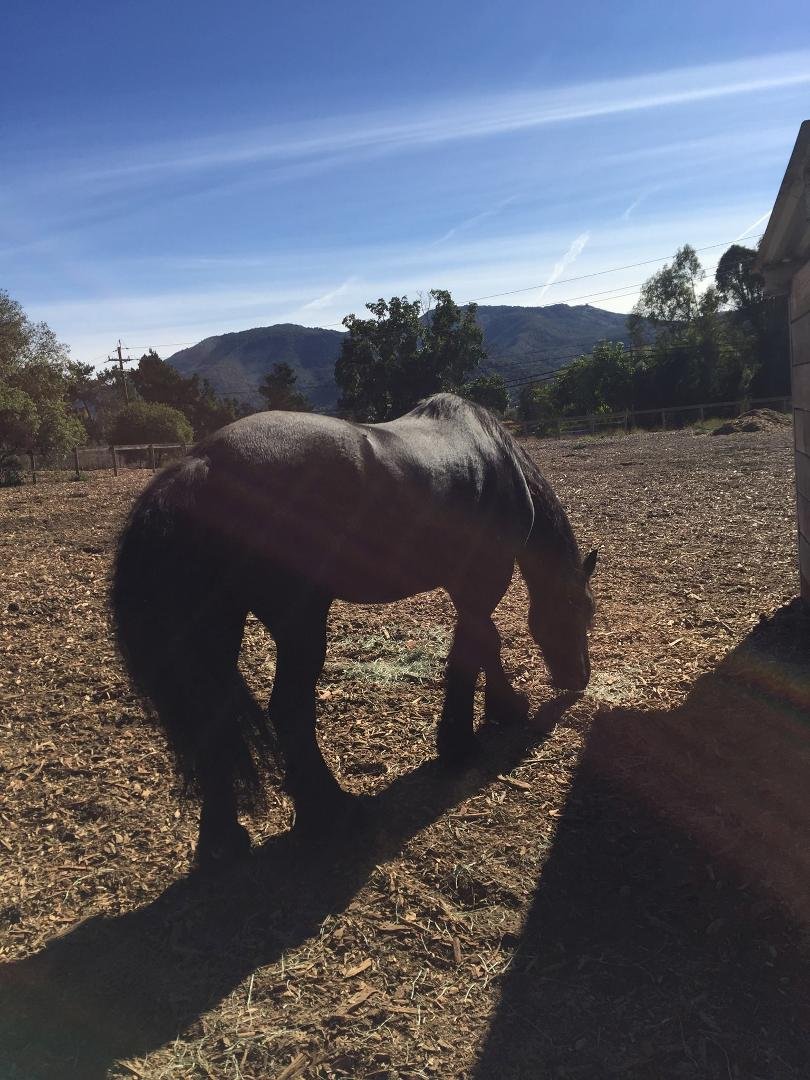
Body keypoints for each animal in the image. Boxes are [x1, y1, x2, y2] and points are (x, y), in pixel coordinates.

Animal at [112, 393, 596, 867]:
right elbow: (477, 647)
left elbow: (482, 645)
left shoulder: (467, 587)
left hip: (219, 629)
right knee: (289, 708)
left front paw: (498, 711)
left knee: (213, 718)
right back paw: (332, 810)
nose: (579, 678)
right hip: (300, 623)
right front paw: (465, 738)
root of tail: (199, 466)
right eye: (582, 609)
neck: (495, 456)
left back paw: (224, 839)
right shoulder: (482, 582)